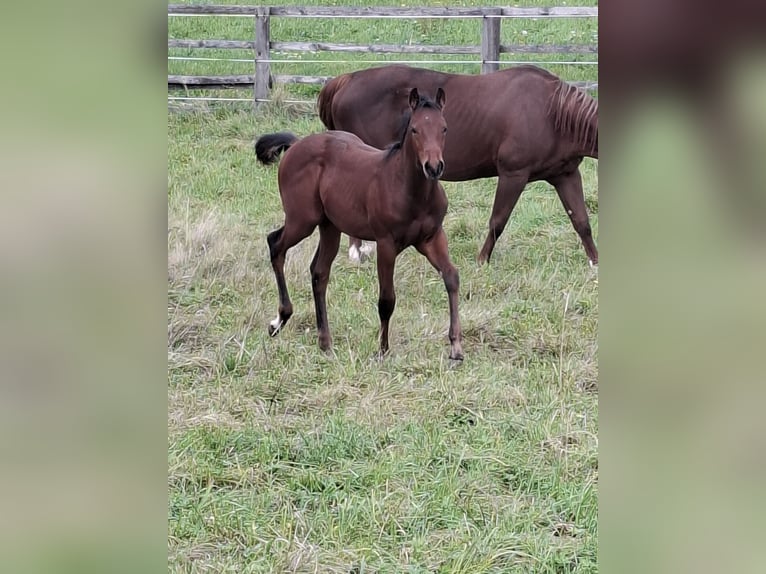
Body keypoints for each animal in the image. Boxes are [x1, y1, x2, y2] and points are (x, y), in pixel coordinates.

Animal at [255, 88, 463, 361]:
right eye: (415, 129)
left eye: (444, 128)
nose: (434, 167)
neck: (410, 191)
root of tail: (296, 144)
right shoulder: (386, 244)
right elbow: (387, 299)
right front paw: (383, 350)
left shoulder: (432, 237)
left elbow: (451, 277)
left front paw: (456, 347)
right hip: (302, 220)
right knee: (276, 244)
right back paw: (279, 320)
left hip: (330, 226)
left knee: (319, 272)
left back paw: (325, 341)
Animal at [318, 64, 599, 266]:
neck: (551, 113)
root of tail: (346, 80)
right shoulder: (513, 174)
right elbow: (497, 221)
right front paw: (482, 260)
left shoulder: (566, 175)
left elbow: (581, 221)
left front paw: (595, 263)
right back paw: (356, 252)